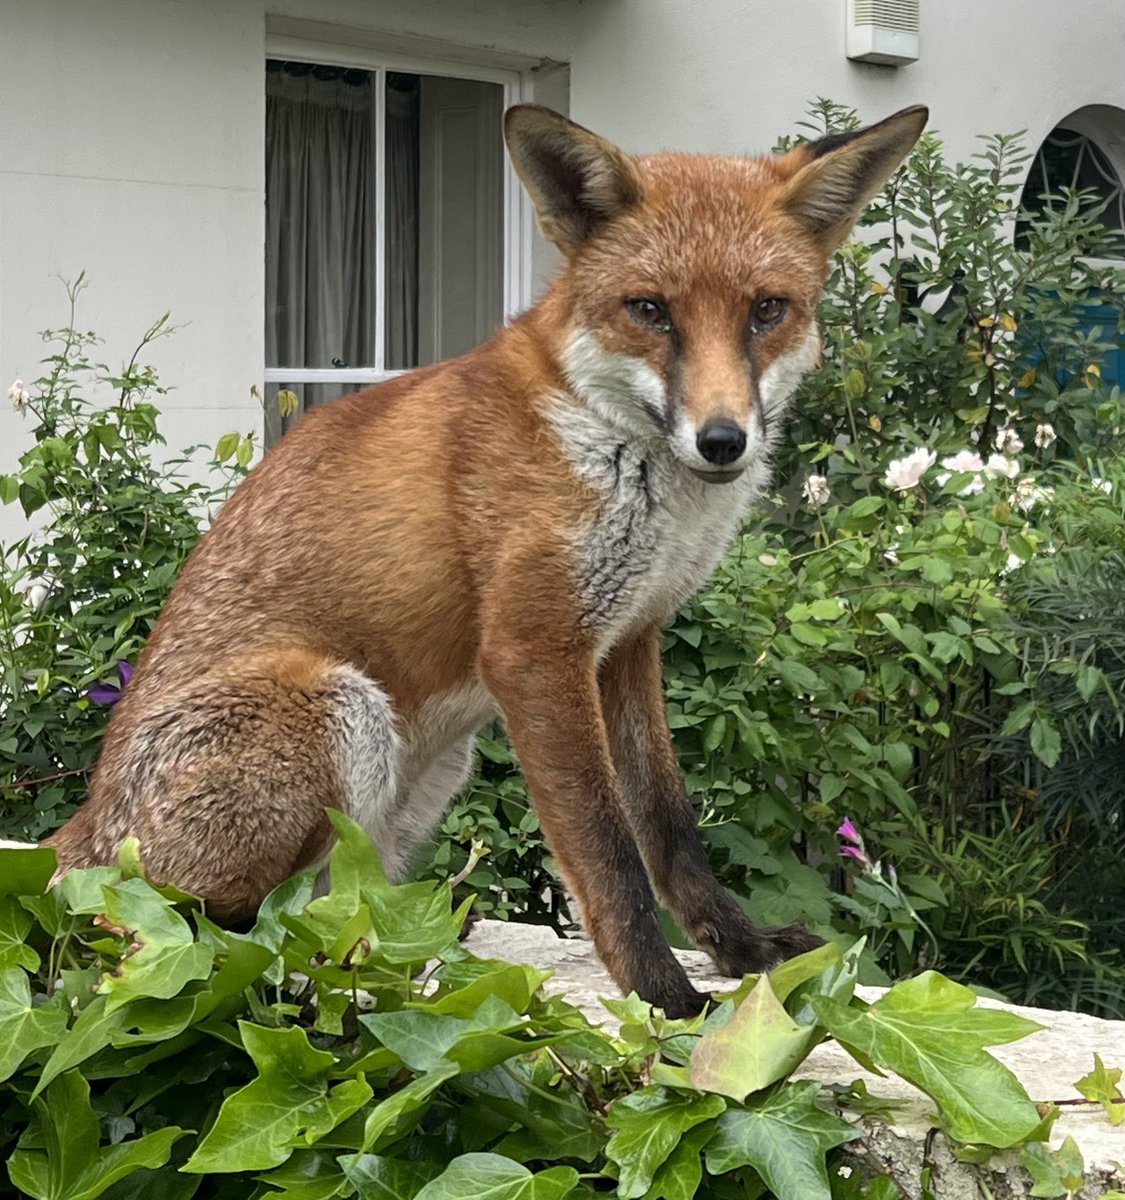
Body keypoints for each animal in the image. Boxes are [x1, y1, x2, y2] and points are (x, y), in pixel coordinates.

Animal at [46, 102, 927, 1017]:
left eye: (766, 310)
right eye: (649, 309)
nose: (722, 441)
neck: (611, 449)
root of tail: (82, 831)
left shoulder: (629, 640)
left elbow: (668, 828)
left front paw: (738, 949)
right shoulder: (534, 650)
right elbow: (607, 852)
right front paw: (665, 1000)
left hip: (429, 767)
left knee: (336, 900)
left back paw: (400, 943)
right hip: (340, 710)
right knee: (192, 935)